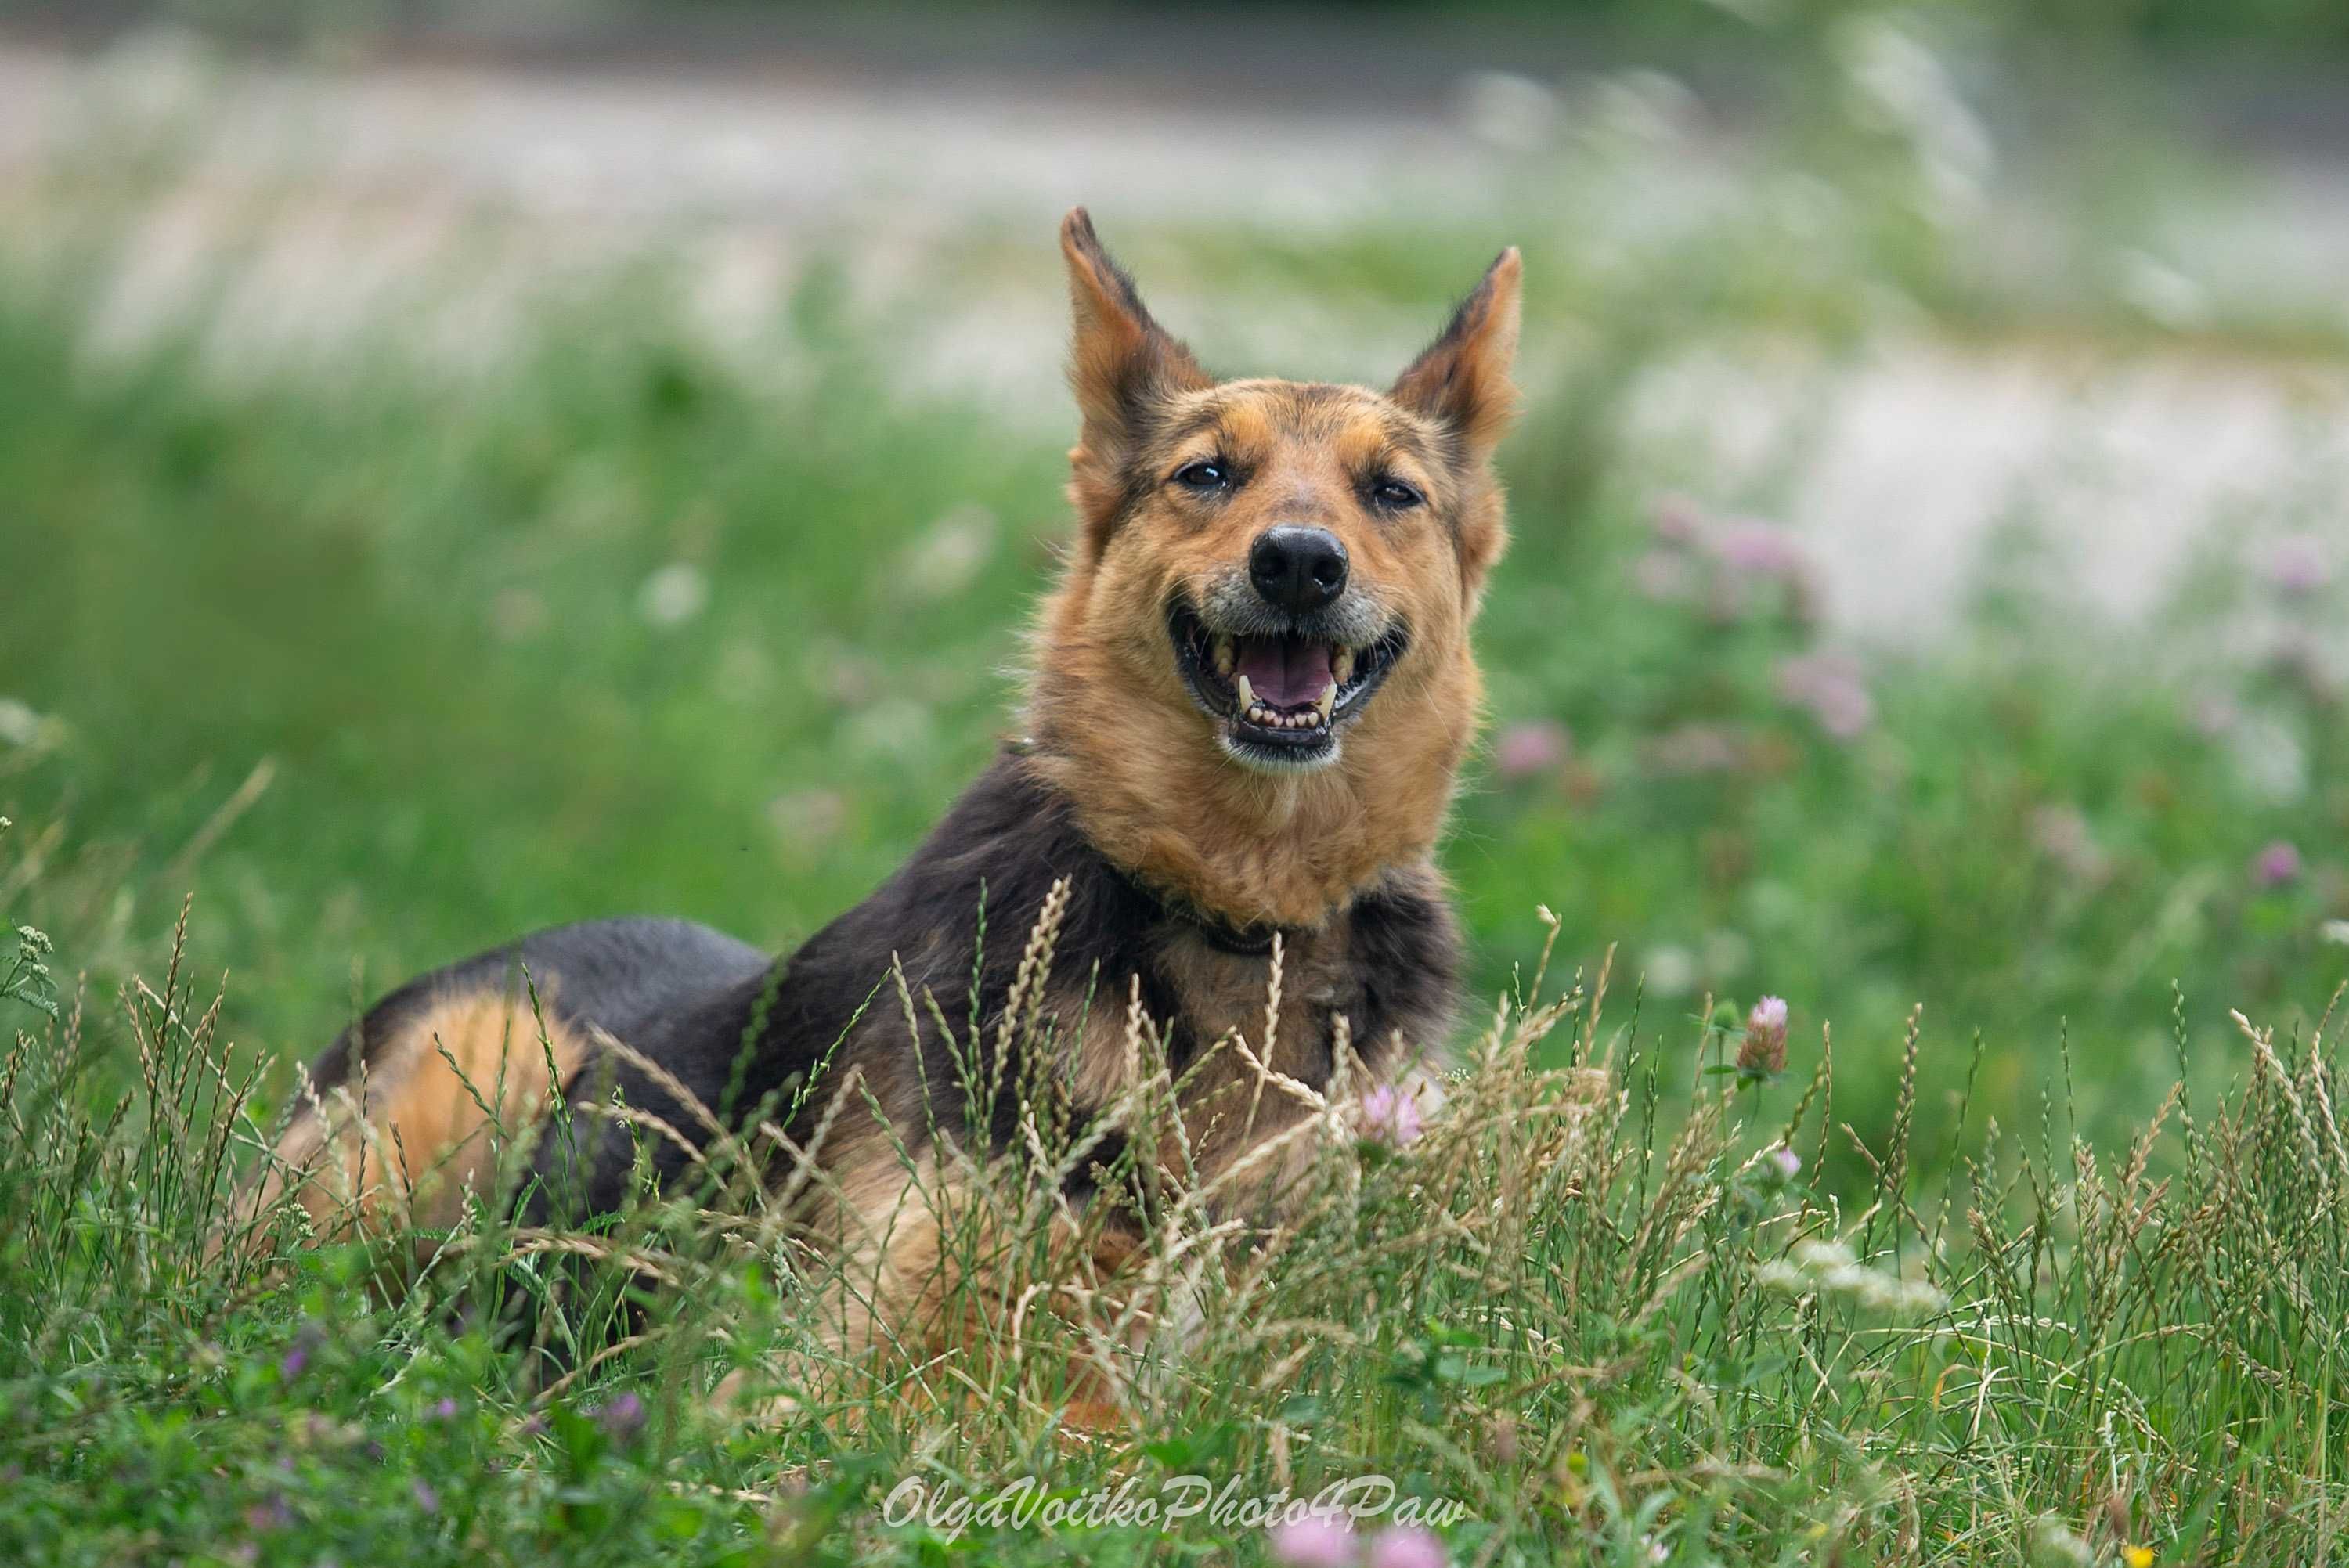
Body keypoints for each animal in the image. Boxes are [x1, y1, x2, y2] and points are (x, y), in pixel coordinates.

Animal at [238, 211, 1522, 1380]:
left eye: (1392, 493)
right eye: (1207, 473)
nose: (1300, 561)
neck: (1234, 915)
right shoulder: (867, 1362)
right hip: (466, 1077)